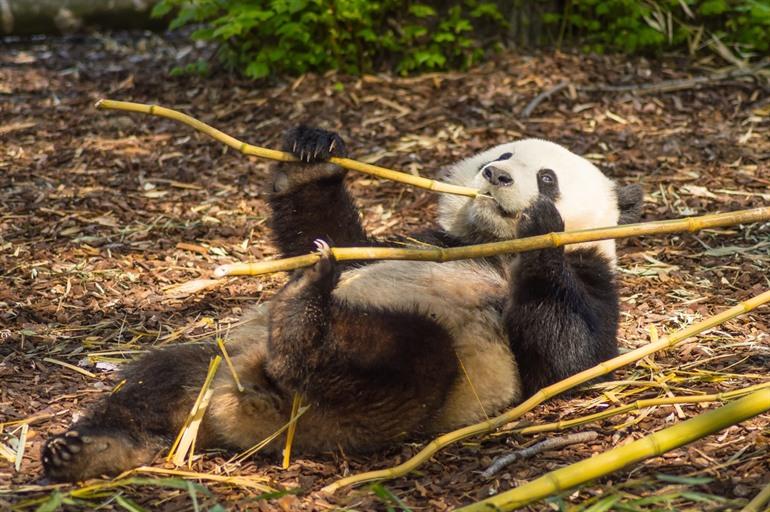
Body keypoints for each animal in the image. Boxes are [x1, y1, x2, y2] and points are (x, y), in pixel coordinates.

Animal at [42, 126, 643, 482]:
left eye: (547, 176)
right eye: (501, 155)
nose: (495, 176)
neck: (488, 244)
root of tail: (247, 412)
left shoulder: (592, 279)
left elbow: (565, 359)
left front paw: (542, 225)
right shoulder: (419, 242)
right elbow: (329, 236)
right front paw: (312, 152)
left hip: (388, 408)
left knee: (410, 359)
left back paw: (305, 324)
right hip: (217, 362)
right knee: (155, 378)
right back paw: (93, 449)